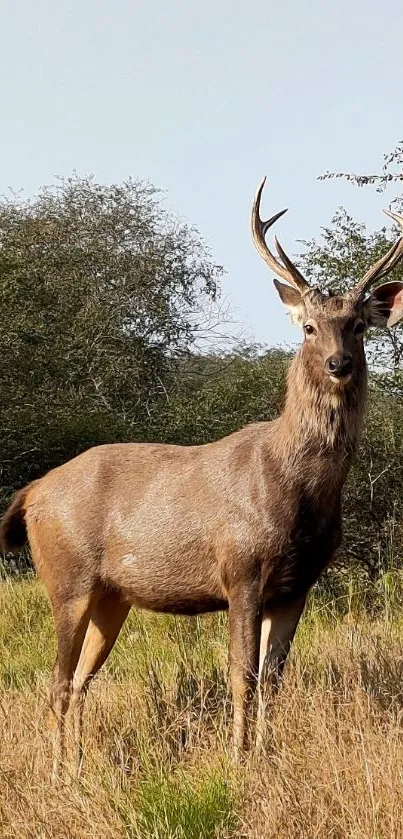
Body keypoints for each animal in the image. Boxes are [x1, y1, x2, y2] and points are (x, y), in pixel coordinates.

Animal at [0, 179, 403, 780]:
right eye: (309, 327)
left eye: (358, 325)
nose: (338, 363)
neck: (296, 490)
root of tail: (31, 494)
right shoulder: (241, 568)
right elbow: (242, 674)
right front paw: (238, 760)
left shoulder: (298, 584)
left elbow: (274, 680)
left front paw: (267, 754)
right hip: (65, 575)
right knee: (56, 682)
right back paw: (58, 773)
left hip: (111, 596)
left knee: (79, 681)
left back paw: (77, 766)